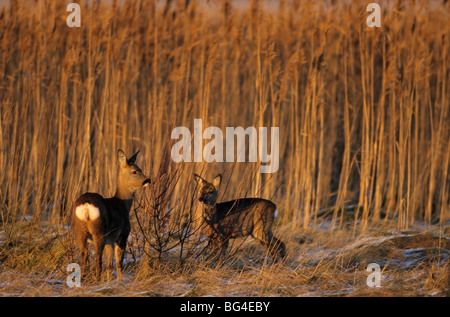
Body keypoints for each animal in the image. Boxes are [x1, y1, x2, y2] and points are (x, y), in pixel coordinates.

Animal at [71, 149, 150, 280]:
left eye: (140, 169)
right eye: (134, 171)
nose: (147, 180)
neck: (122, 205)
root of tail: (86, 205)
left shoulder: (110, 240)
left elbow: (109, 266)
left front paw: (109, 281)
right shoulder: (121, 235)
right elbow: (118, 264)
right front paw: (120, 281)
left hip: (79, 230)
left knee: (84, 256)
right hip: (99, 230)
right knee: (98, 260)